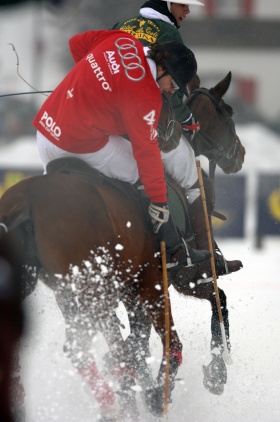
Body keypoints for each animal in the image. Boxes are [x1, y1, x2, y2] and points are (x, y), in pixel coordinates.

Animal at [0, 71, 245, 418]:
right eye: (228, 113)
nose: (240, 154)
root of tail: (26, 203)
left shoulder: (134, 288)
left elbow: (136, 344)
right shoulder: (173, 279)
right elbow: (211, 304)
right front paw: (209, 376)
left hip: (50, 286)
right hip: (93, 290)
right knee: (83, 345)